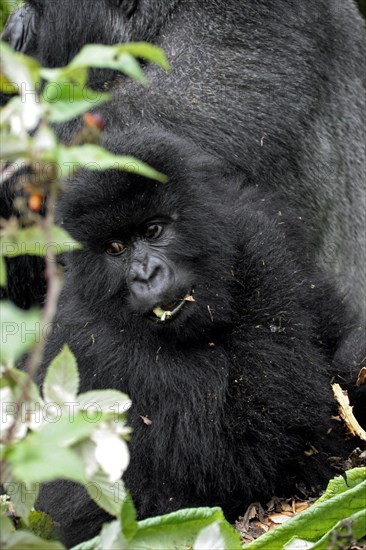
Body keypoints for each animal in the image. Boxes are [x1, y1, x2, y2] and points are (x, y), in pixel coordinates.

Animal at [38, 129, 360, 548]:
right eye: (115, 248)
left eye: (153, 231)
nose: (146, 276)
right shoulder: (90, 338)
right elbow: (240, 445)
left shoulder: (259, 222)